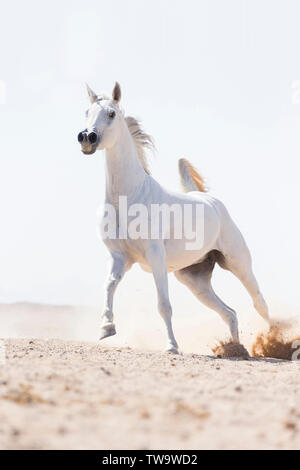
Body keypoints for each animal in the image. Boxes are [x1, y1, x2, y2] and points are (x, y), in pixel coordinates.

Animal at [78, 82, 270, 352]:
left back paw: (276, 342)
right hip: (194, 280)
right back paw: (234, 350)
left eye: (111, 113)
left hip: (238, 263)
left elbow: (164, 304)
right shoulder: (119, 257)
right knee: (229, 313)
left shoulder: (155, 256)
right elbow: (109, 286)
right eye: (87, 112)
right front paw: (106, 328)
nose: (87, 138)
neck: (129, 197)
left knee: (259, 302)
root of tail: (210, 201)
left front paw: (172, 346)